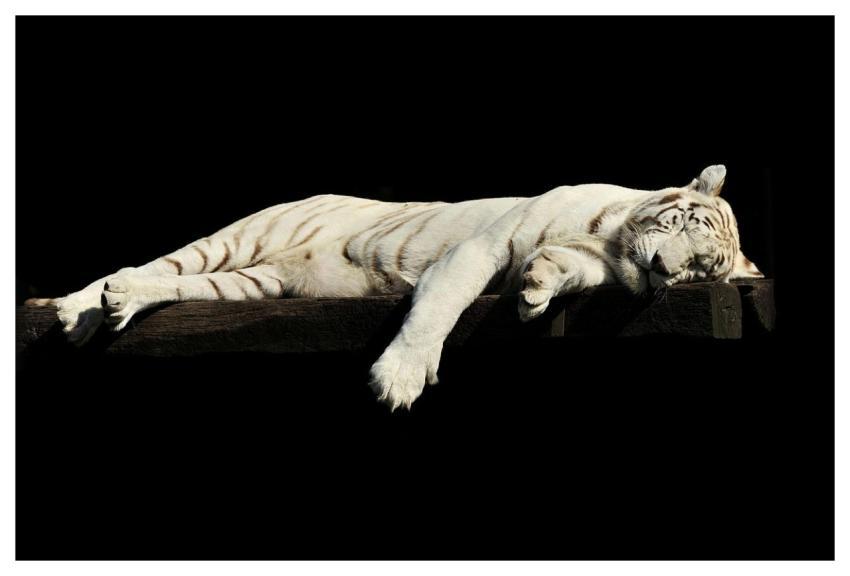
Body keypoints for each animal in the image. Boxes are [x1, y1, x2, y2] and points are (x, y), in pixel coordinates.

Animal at [27, 164, 763, 410]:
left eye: (702, 269)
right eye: (684, 224)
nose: (665, 269)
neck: (611, 242)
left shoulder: (600, 263)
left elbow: (563, 267)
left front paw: (535, 288)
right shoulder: (481, 246)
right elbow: (438, 308)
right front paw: (400, 379)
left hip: (252, 282)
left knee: (177, 286)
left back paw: (118, 305)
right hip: (240, 239)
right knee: (155, 264)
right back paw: (79, 308)